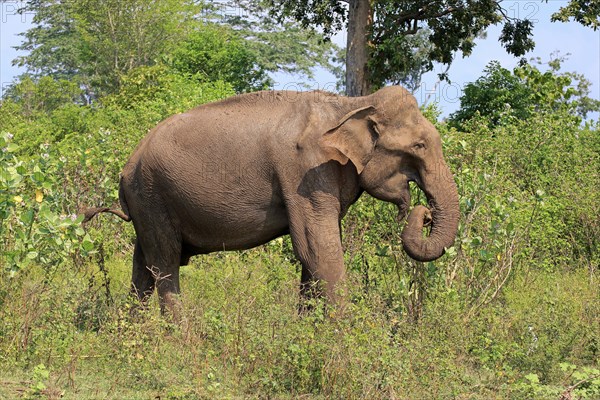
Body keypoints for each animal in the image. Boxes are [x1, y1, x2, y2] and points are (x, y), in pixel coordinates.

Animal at [83, 86, 460, 316]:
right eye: (419, 146)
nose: (424, 213)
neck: (352, 103)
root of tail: (126, 168)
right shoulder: (304, 171)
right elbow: (317, 249)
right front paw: (347, 341)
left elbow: (312, 255)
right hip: (152, 194)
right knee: (165, 262)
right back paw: (180, 341)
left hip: (147, 200)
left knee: (143, 265)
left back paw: (133, 336)